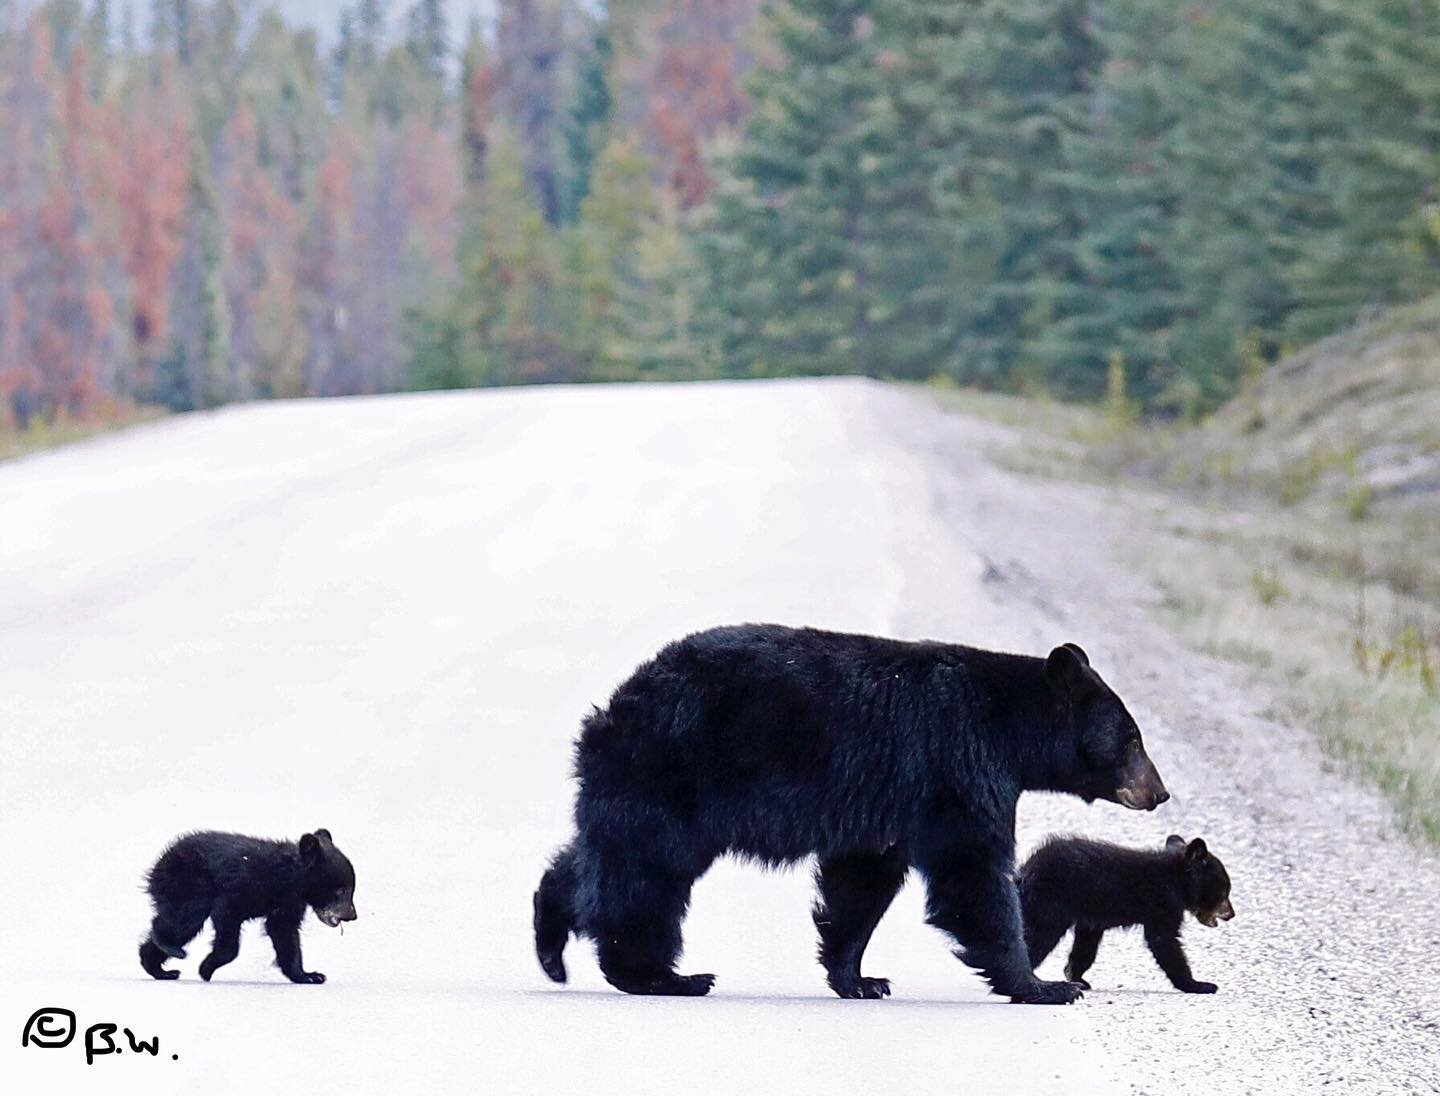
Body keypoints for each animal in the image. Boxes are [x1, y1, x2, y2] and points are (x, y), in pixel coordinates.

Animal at [138, 829, 358, 985]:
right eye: (341, 890)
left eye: (351, 889)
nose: (352, 915)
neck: (287, 879)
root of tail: (162, 859)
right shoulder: (242, 887)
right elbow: (227, 920)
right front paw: (206, 969)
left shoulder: (288, 903)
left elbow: (284, 933)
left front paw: (310, 975)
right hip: (190, 884)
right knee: (182, 921)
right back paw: (173, 950)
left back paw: (161, 970)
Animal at [535, 625, 1163, 1002]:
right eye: (1132, 739)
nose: (1160, 794)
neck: (1009, 726)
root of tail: (614, 706)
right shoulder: (957, 765)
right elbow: (973, 873)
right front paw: (1042, 983)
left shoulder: (887, 806)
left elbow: (861, 883)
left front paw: (860, 978)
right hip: (672, 774)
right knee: (645, 876)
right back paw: (664, 976)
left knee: (599, 863)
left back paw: (553, 944)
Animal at [1013, 829, 1238, 990]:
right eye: (1225, 890)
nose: (1231, 914)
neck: (1176, 879)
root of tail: (1025, 871)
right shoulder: (1163, 903)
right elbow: (1164, 940)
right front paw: (1198, 984)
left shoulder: (1092, 918)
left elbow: (1085, 946)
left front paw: (1076, 977)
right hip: (1050, 904)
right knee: (1039, 935)